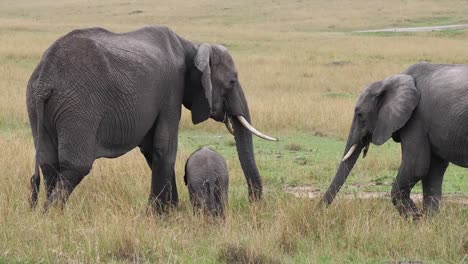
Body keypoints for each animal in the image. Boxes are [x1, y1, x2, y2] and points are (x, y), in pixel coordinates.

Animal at [322, 62, 468, 219]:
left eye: (360, 114)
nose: (317, 211)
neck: (388, 82)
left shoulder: (416, 119)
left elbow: (416, 166)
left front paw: (414, 218)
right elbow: (433, 170)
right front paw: (427, 221)